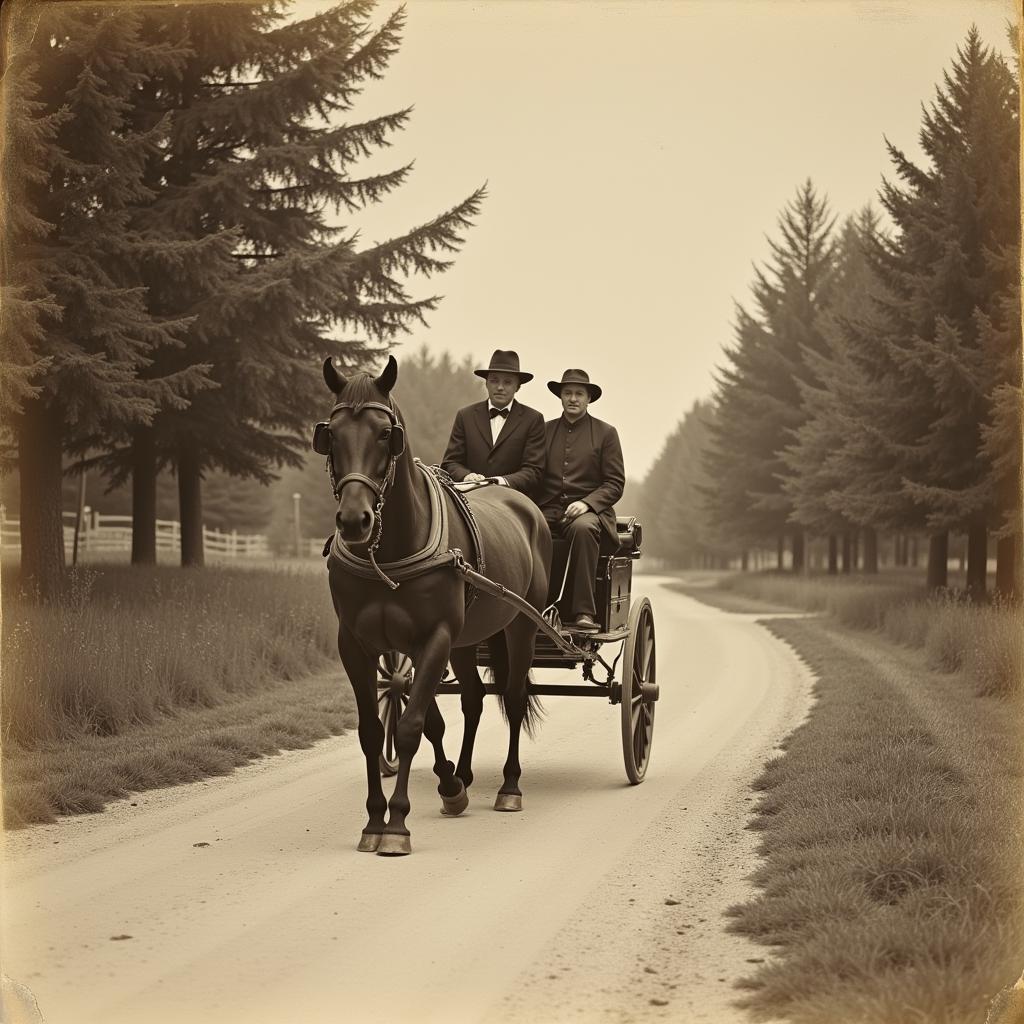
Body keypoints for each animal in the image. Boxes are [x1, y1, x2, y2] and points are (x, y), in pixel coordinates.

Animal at [317, 356, 552, 851]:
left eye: (385, 433)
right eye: (331, 433)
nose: (354, 520)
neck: (388, 549)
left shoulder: (434, 638)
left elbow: (409, 728)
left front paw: (397, 826)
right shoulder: (359, 645)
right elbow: (382, 730)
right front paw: (381, 817)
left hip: (521, 625)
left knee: (514, 697)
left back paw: (510, 786)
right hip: (466, 641)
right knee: (474, 700)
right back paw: (463, 776)